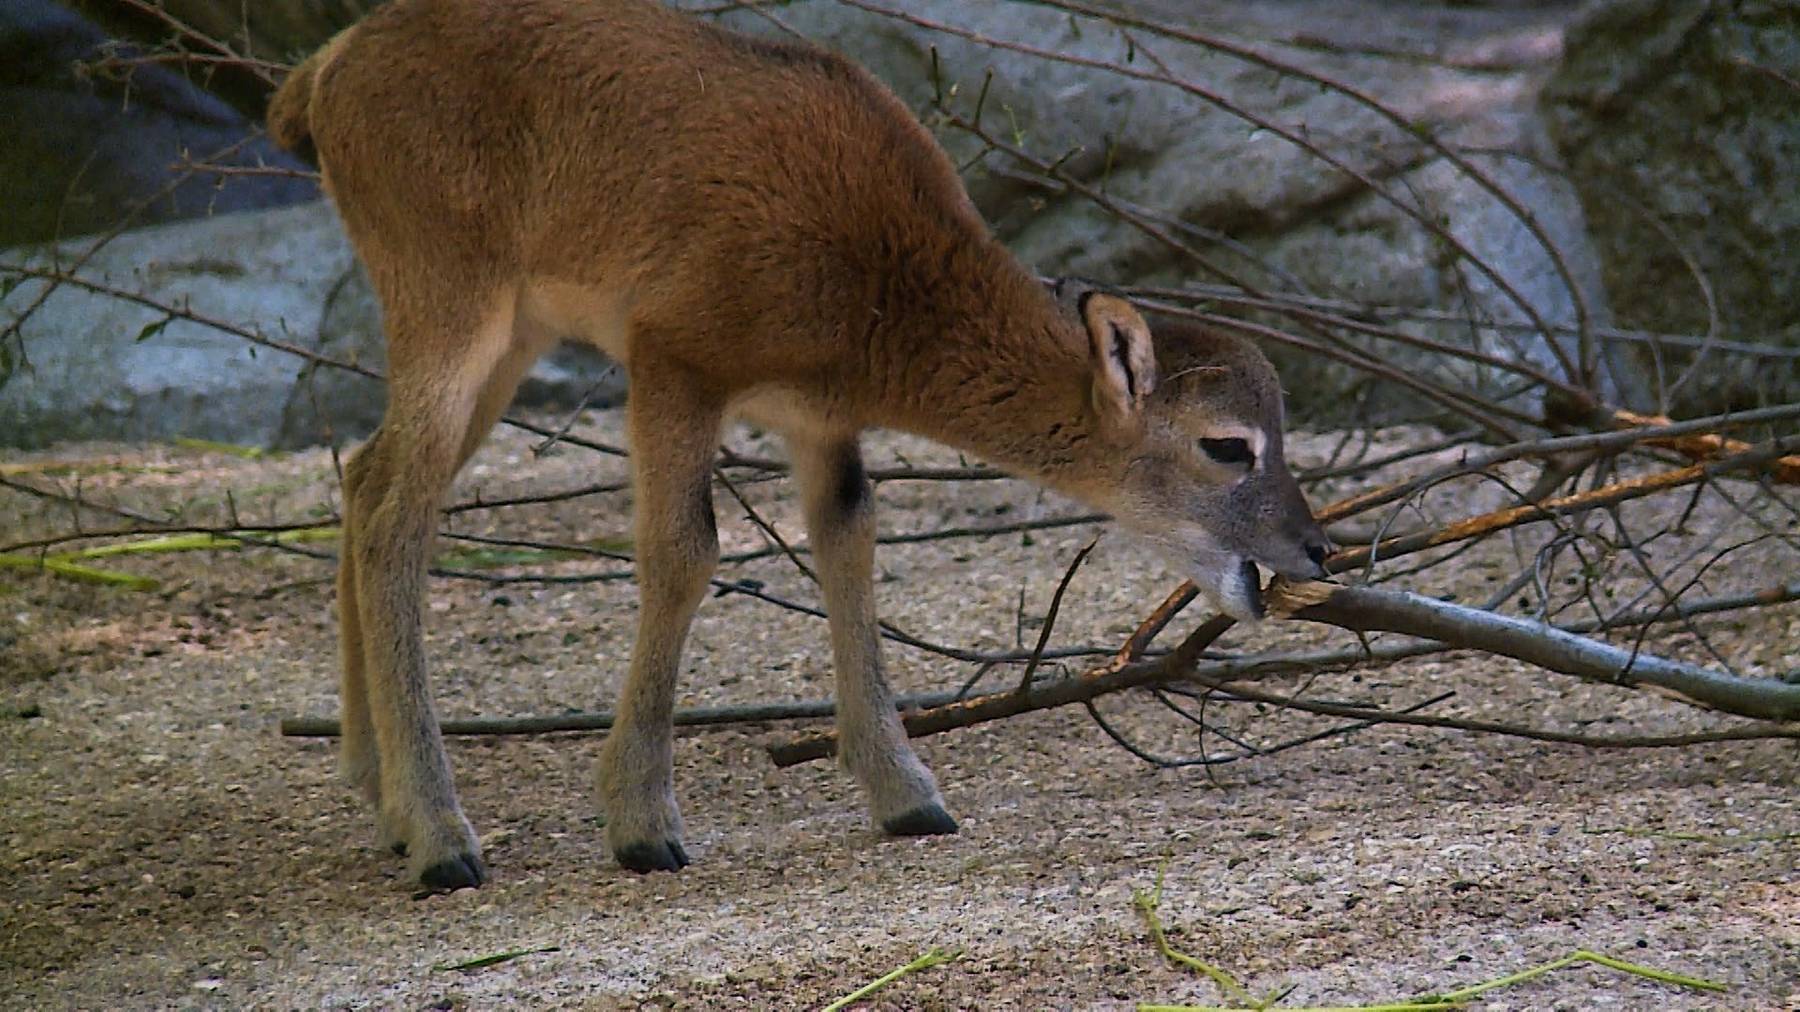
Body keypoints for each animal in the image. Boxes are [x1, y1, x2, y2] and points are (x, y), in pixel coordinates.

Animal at [270, 0, 1339, 885]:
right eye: (1228, 445)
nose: (1316, 547)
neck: (872, 274)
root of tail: (324, 72)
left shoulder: (819, 418)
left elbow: (848, 539)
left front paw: (910, 799)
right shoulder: (674, 358)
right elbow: (685, 552)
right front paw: (643, 826)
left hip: (513, 335)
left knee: (365, 476)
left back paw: (379, 796)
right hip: (448, 296)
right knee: (399, 512)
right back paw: (442, 838)